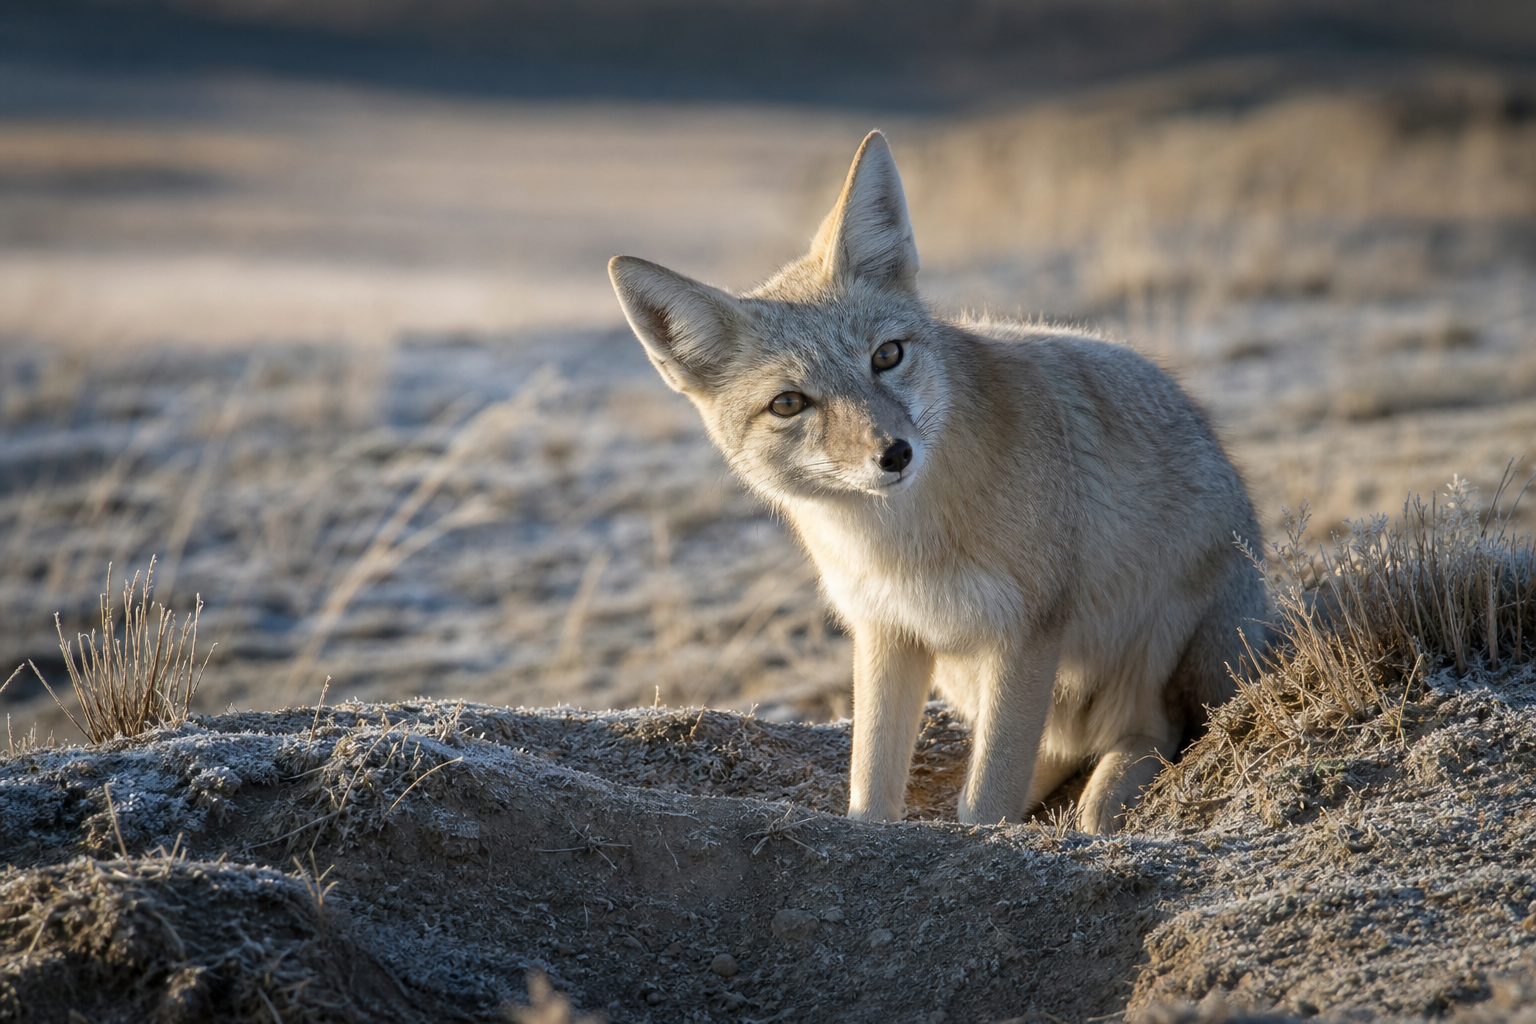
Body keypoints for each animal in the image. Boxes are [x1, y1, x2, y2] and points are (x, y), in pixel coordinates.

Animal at [608, 131, 1267, 833]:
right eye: (789, 404)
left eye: (887, 356)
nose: (894, 453)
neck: (904, 547)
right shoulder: (886, 632)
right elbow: (872, 791)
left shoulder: (1027, 630)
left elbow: (988, 801)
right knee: (1063, 748)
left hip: (1161, 647)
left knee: (1154, 733)